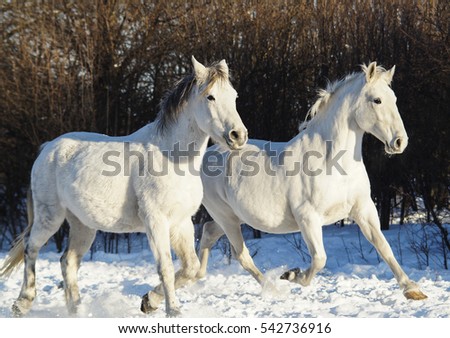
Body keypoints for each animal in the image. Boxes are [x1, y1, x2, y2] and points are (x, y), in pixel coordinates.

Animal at [0, 56, 248, 318]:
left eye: (233, 96)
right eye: (210, 97)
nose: (238, 136)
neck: (171, 158)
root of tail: (47, 148)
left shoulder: (181, 223)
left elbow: (191, 267)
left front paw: (149, 302)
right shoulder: (155, 222)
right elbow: (166, 267)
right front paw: (173, 311)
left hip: (82, 224)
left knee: (67, 262)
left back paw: (77, 310)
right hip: (50, 216)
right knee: (31, 248)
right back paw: (22, 303)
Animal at [199, 62, 428, 302]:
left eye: (394, 98)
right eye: (377, 100)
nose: (400, 142)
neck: (334, 163)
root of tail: (207, 155)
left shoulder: (363, 210)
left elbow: (383, 246)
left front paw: (412, 290)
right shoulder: (308, 218)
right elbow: (319, 258)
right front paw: (292, 275)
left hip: (234, 218)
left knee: (208, 232)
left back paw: (193, 278)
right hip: (226, 217)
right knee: (241, 255)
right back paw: (273, 288)